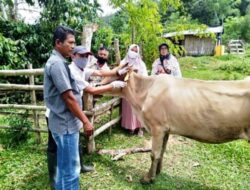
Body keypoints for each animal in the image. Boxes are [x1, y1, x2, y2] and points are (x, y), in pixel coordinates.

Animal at [107, 71, 250, 184]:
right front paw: (157, 172)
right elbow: (162, 151)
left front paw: (148, 178)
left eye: (114, 75)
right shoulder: (166, 129)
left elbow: (154, 154)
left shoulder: (157, 127)